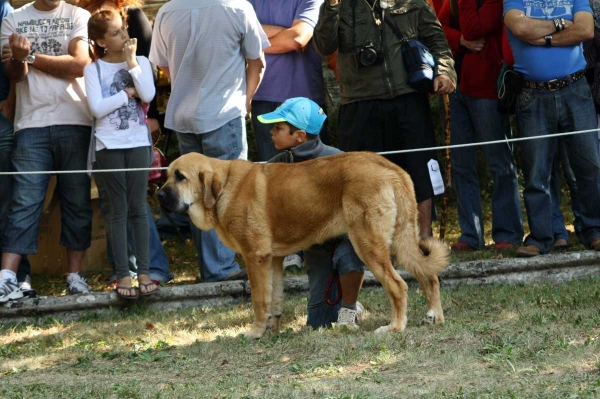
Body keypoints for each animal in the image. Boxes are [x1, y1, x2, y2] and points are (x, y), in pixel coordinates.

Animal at [159, 152, 450, 340]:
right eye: (168, 176)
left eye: (181, 177)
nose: (159, 194)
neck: (224, 186)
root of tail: (390, 166)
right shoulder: (273, 260)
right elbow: (274, 299)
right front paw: (272, 330)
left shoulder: (256, 258)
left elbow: (258, 300)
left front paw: (255, 332)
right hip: (402, 242)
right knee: (429, 277)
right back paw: (434, 316)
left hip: (368, 245)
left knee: (398, 286)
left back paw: (395, 327)